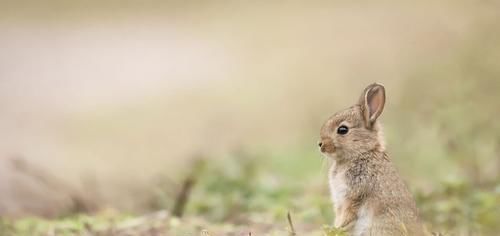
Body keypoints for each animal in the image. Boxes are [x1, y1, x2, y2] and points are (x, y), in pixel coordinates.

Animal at [318, 83, 424, 236]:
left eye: (343, 130)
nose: (320, 144)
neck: (362, 153)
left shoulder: (354, 195)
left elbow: (347, 215)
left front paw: (336, 229)